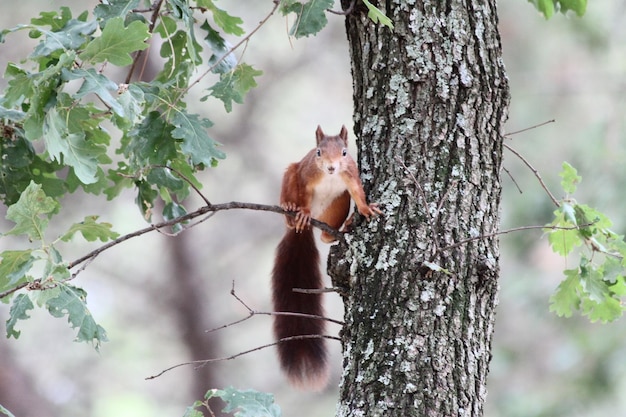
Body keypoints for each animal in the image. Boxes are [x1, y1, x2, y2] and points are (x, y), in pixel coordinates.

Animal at [270, 122, 378, 386]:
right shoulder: (305, 177)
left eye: (344, 153)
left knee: (325, 237)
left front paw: (366, 209)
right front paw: (302, 210)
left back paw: (342, 228)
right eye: (318, 152)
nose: (331, 167)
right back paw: (292, 211)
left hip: (338, 205)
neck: (329, 176)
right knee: (290, 207)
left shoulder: (350, 177)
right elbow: (303, 195)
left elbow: (358, 193)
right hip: (290, 174)